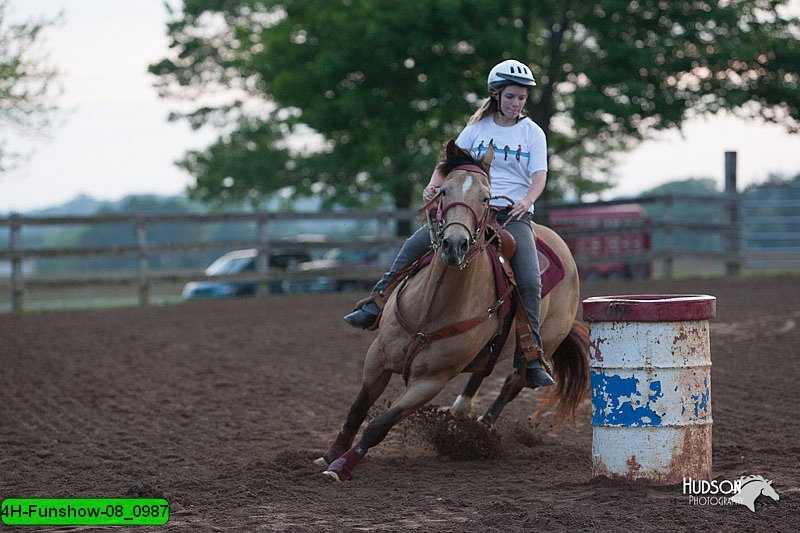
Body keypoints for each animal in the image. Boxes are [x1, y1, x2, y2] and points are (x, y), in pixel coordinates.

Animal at [316, 139, 592, 480]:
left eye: (486, 197)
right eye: (444, 191)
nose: (454, 244)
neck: (431, 306)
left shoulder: (430, 381)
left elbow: (379, 425)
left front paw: (342, 467)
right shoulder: (378, 357)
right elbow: (358, 408)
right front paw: (330, 455)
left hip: (544, 342)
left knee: (514, 381)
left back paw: (484, 426)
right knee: (483, 371)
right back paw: (462, 410)